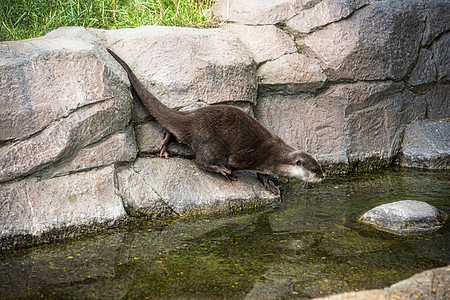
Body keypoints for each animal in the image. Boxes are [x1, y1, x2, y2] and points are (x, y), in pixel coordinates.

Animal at [106, 48, 324, 195]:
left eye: (320, 167)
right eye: (314, 170)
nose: (323, 176)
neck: (277, 157)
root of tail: (192, 116)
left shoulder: (266, 165)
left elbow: (263, 176)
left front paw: (269, 185)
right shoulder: (251, 157)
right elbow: (233, 164)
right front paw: (230, 172)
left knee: (174, 133)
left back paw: (165, 147)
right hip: (211, 141)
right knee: (201, 160)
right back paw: (220, 170)